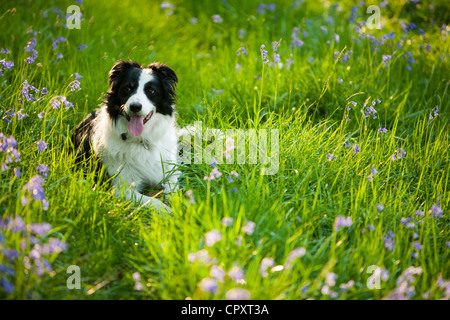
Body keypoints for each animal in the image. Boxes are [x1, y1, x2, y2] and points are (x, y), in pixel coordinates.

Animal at [72, 60, 179, 212]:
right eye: (128, 88)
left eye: (151, 91)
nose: (135, 106)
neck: (141, 140)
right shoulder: (120, 188)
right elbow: (153, 201)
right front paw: (169, 212)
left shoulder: (169, 172)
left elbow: (174, 192)